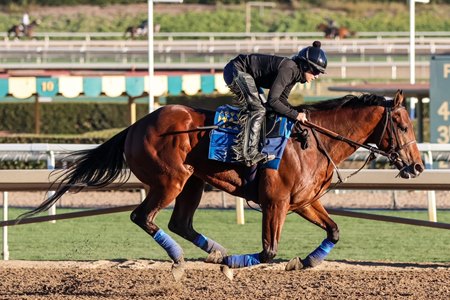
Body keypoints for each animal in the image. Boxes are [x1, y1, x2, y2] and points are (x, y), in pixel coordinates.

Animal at [20, 90, 422, 280]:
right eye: (403, 125)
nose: (417, 166)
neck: (312, 140)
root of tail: (136, 125)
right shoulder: (275, 202)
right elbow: (268, 252)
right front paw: (232, 264)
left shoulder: (304, 201)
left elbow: (335, 231)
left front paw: (307, 261)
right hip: (171, 180)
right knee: (143, 217)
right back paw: (186, 258)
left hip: (193, 182)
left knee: (179, 222)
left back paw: (212, 251)